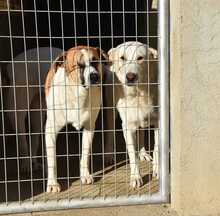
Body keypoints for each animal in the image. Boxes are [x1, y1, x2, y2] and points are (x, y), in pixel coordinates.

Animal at [44, 45, 106, 192]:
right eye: (79, 65)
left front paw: (85, 175)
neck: (79, 95)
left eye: (95, 61)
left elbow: (85, 153)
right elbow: (52, 159)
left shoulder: (90, 127)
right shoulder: (50, 130)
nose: (94, 76)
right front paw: (52, 183)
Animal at [104, 41, 158, 188]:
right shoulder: (128, 127)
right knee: (110, 131)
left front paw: (157, 170)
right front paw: (136, 177)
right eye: (123, 58)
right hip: (110, 110)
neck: (139, 93)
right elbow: (132, 154)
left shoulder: (159, 123)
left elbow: (157, 148)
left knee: (141, 132)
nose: (130, 77)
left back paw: (143, 153)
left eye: (140, 58)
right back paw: (109, 154)